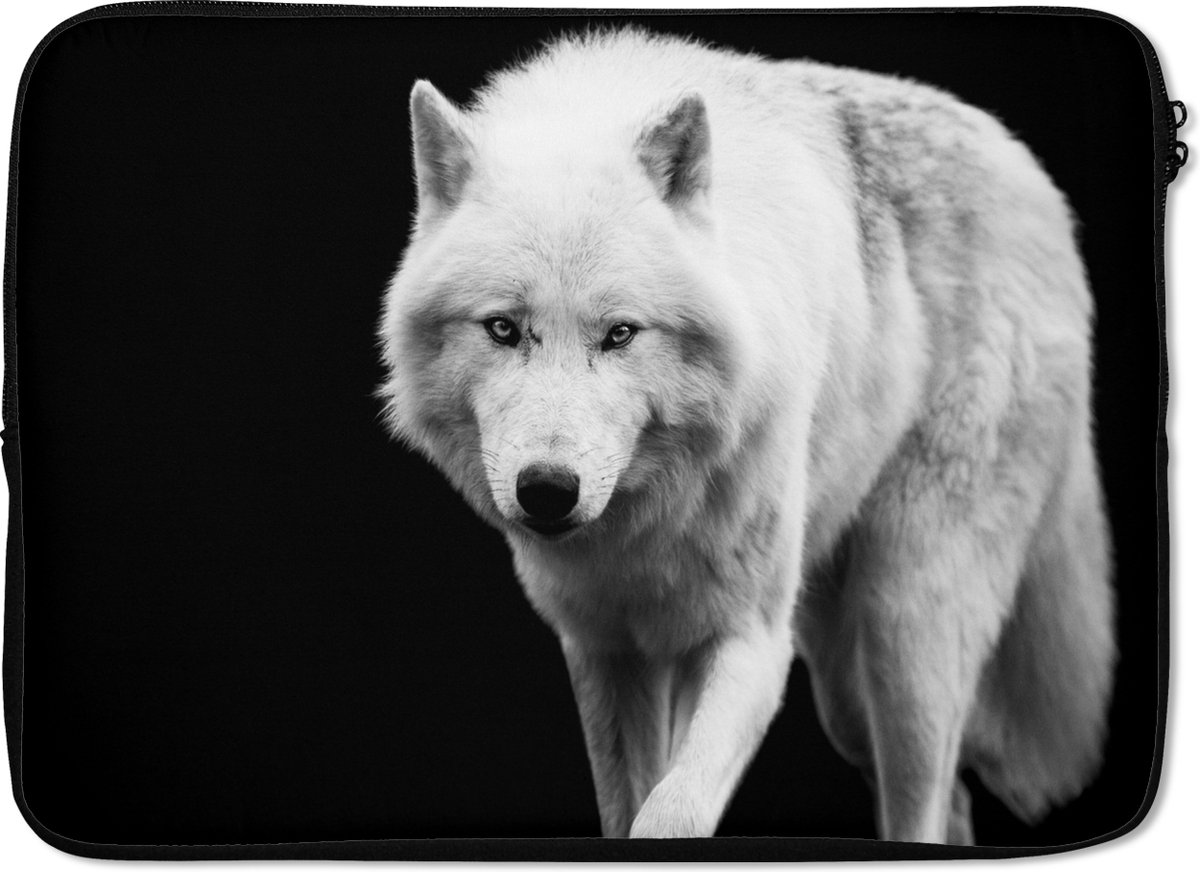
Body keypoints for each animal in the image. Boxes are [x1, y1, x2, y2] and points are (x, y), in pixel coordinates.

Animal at [377, 29, 1115, 844]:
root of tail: (1029, 172)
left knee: (923, 797)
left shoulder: (753, 644)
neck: (646, 520)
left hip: (904, 632)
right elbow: (628, 805)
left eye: (620, 334)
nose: (546, 491)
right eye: (504, 329)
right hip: (843, 690)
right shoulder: (606, 652)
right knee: (950, 798)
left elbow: (672, 811)